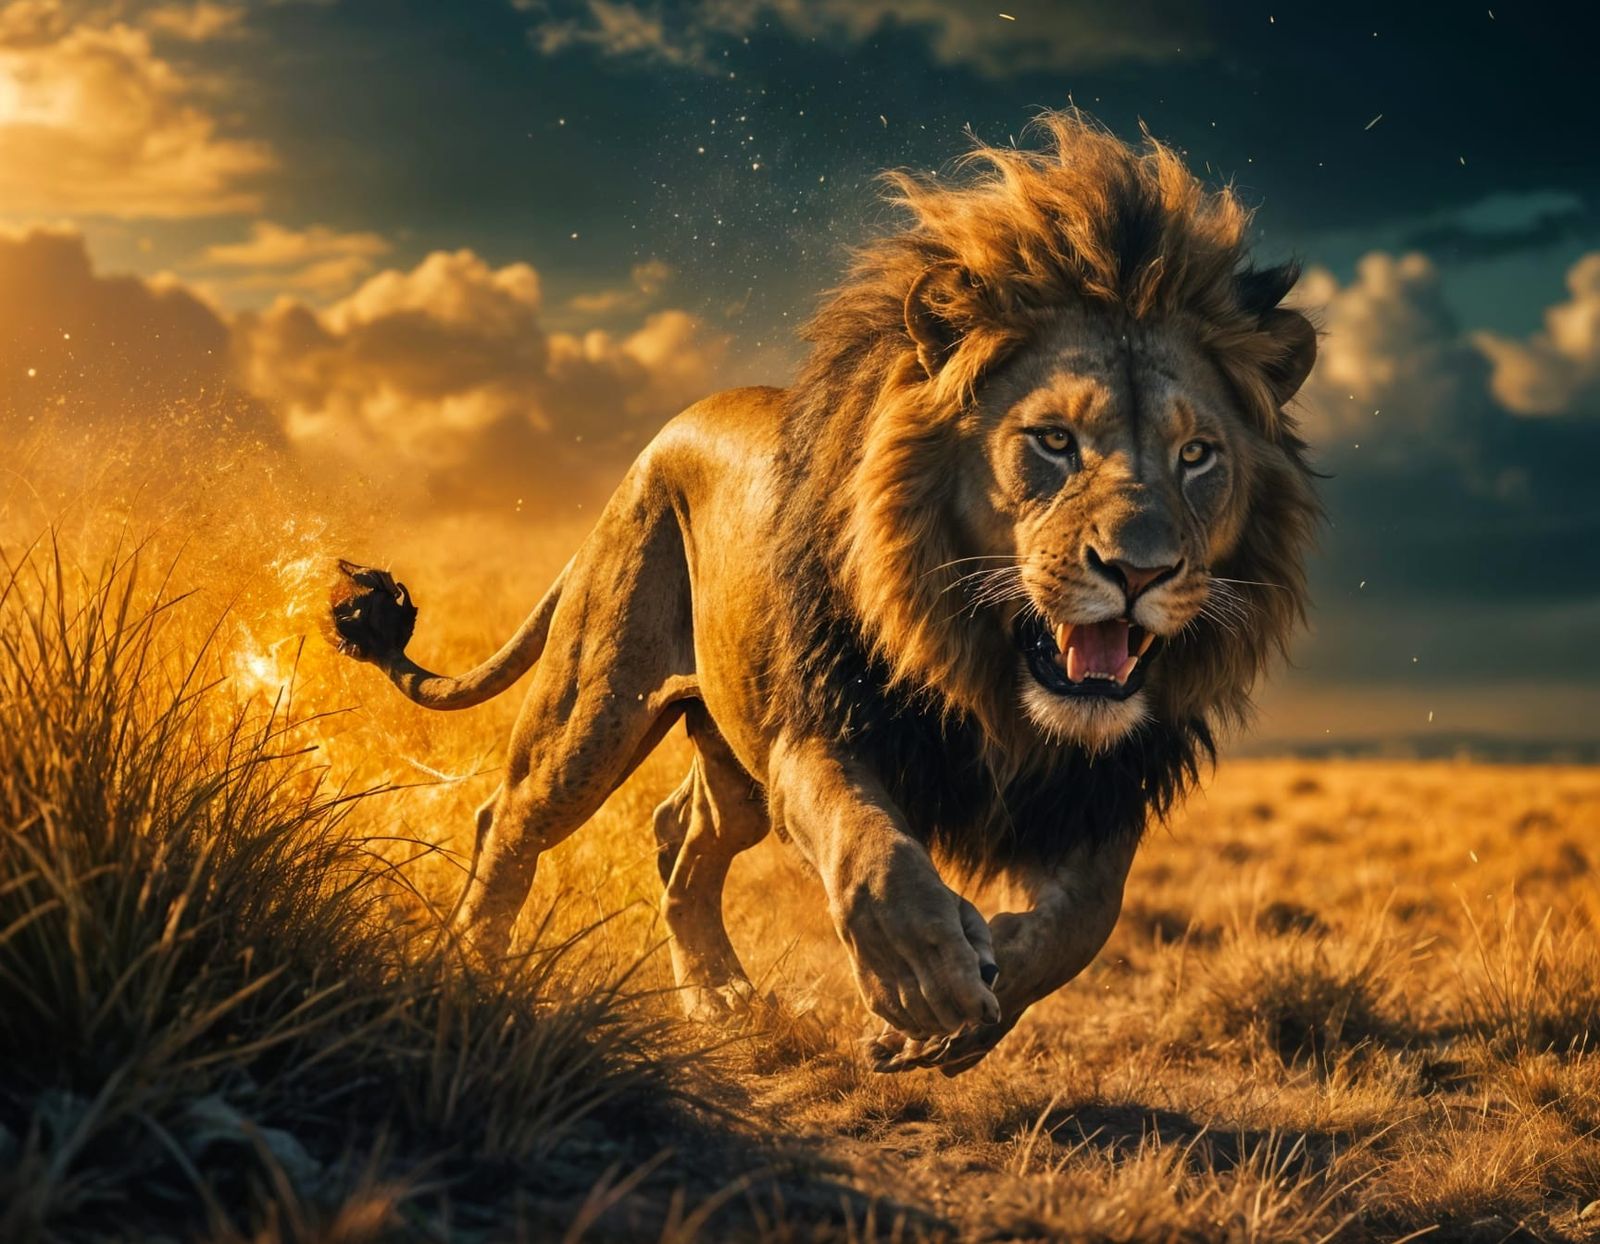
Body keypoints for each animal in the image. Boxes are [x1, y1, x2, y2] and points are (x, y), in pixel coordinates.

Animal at [330, 111, 1320, 1076]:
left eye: (1198, 456)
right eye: (1052, 441)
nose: (1140, 572)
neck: (987, 671)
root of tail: (653, 449)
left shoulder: (1102, 788)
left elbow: (1085, 920)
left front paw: (956, 1017)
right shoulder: (819, 727)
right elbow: (877, 858)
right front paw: (929, 985)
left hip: (733, 757)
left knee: (679, 837)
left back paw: (720, 996)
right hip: (597, 707)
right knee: (510, 817)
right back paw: (473, 975)